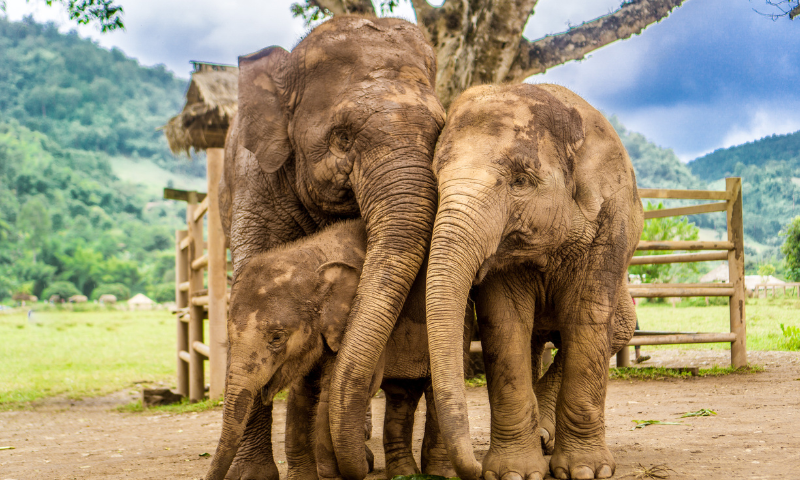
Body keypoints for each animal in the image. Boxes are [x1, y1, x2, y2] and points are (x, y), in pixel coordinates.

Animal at [203, 220, 472, 480]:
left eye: (277, 338)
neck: (313, 257)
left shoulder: (359, 321)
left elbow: (334, 388)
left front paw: (332, 473)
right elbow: (301, 393)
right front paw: (303, 477)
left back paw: (439, 473)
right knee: (401, 393)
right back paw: (403, 471)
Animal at [424, 83, 644, 480]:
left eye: (521, 181)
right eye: (435, 180)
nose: (472, 468)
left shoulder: (610, 224)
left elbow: (587, 320)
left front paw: (585, 471)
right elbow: (504, 323)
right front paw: (513, 474)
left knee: (617, 329)